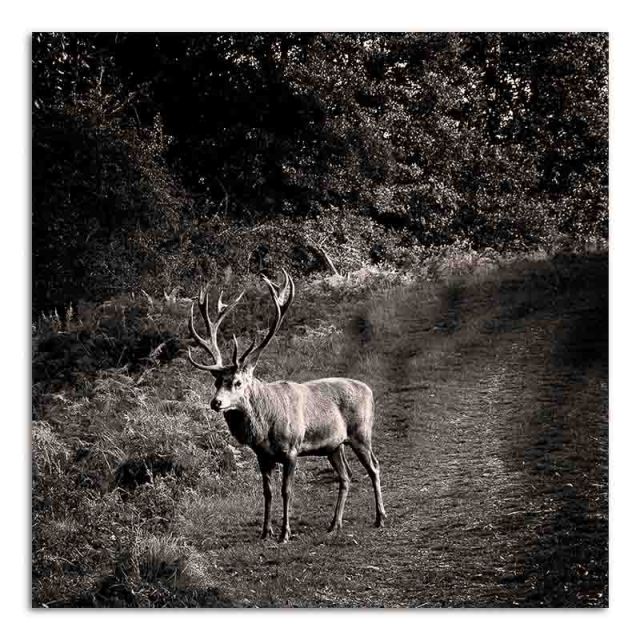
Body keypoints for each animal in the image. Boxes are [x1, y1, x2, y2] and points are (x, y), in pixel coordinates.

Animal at [187, 270, 386, 543]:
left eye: (237, 382)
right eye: (217, 381)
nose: (216, 402)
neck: (265, 427)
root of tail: (369, 390)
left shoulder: (292, 449)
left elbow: (286, 491)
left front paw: (285, 533)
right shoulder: (262, 455)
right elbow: (267, 492)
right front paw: (265, 531)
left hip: (361, 432)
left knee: (374, 467)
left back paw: (380, 518)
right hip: (334, 445)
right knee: (346, 476)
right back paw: (335, 524)